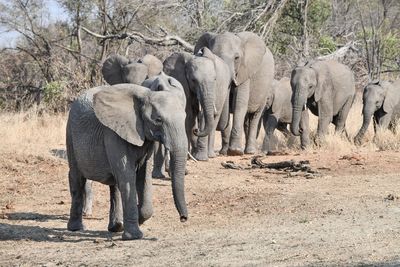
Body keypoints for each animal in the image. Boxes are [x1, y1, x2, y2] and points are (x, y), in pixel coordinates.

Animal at [66, 75, 188, 241]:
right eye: (158, 120)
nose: (183, 218)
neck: (147, 95)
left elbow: (143, 175)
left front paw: (139, 219)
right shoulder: (113, 133)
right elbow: (127, 174)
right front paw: (134, 236)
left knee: (115, 184)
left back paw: (116, 227)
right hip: (70, 133)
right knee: (77, 178)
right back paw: (76, 228)